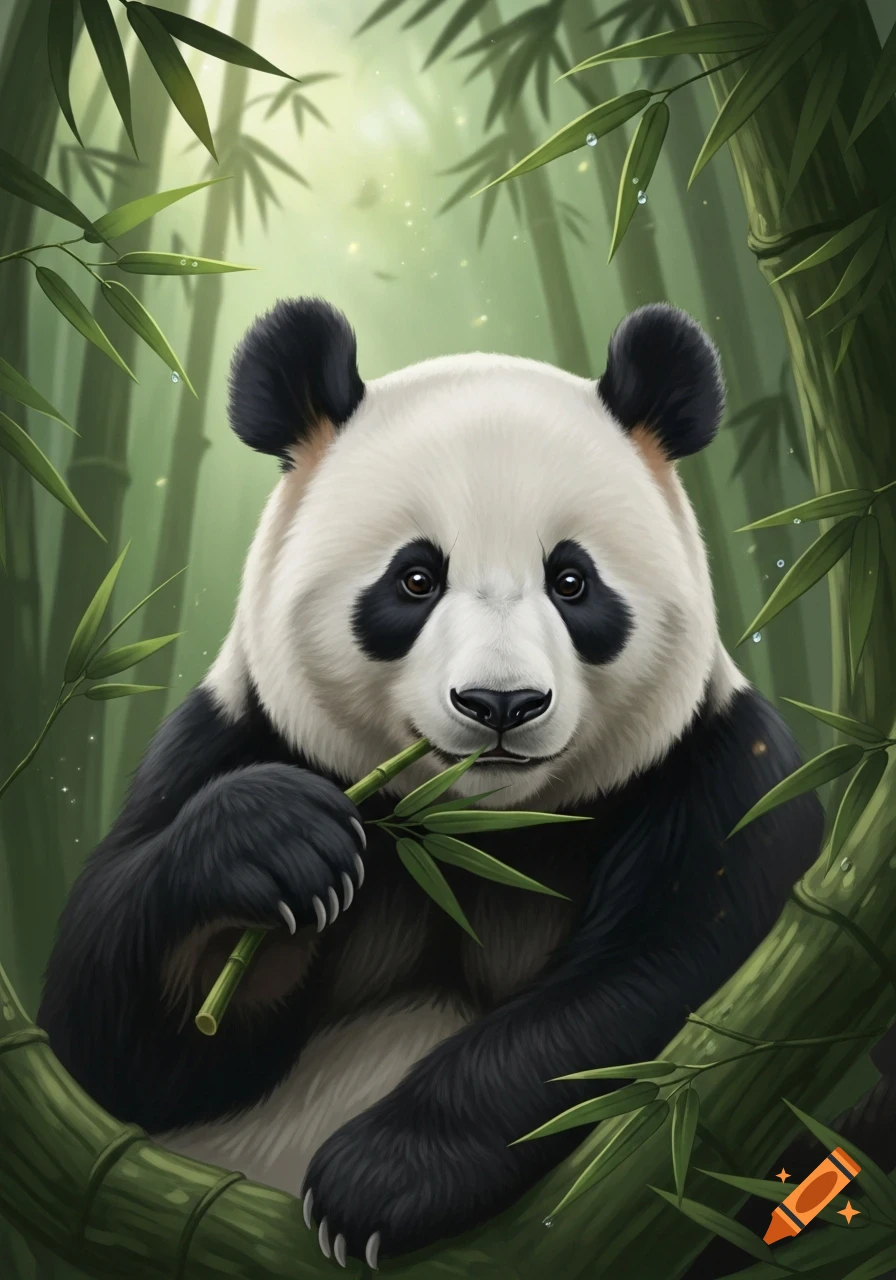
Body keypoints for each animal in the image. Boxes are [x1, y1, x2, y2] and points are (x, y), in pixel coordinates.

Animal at [38, 297, 824, 1271]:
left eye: (572, 580)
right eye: (415, 578)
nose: (501, 703)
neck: (468, 836)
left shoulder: (722, 777)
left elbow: (650, 1000)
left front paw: (377, 1180)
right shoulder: (224, 741)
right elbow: (115, 1049)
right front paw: (280, 852)